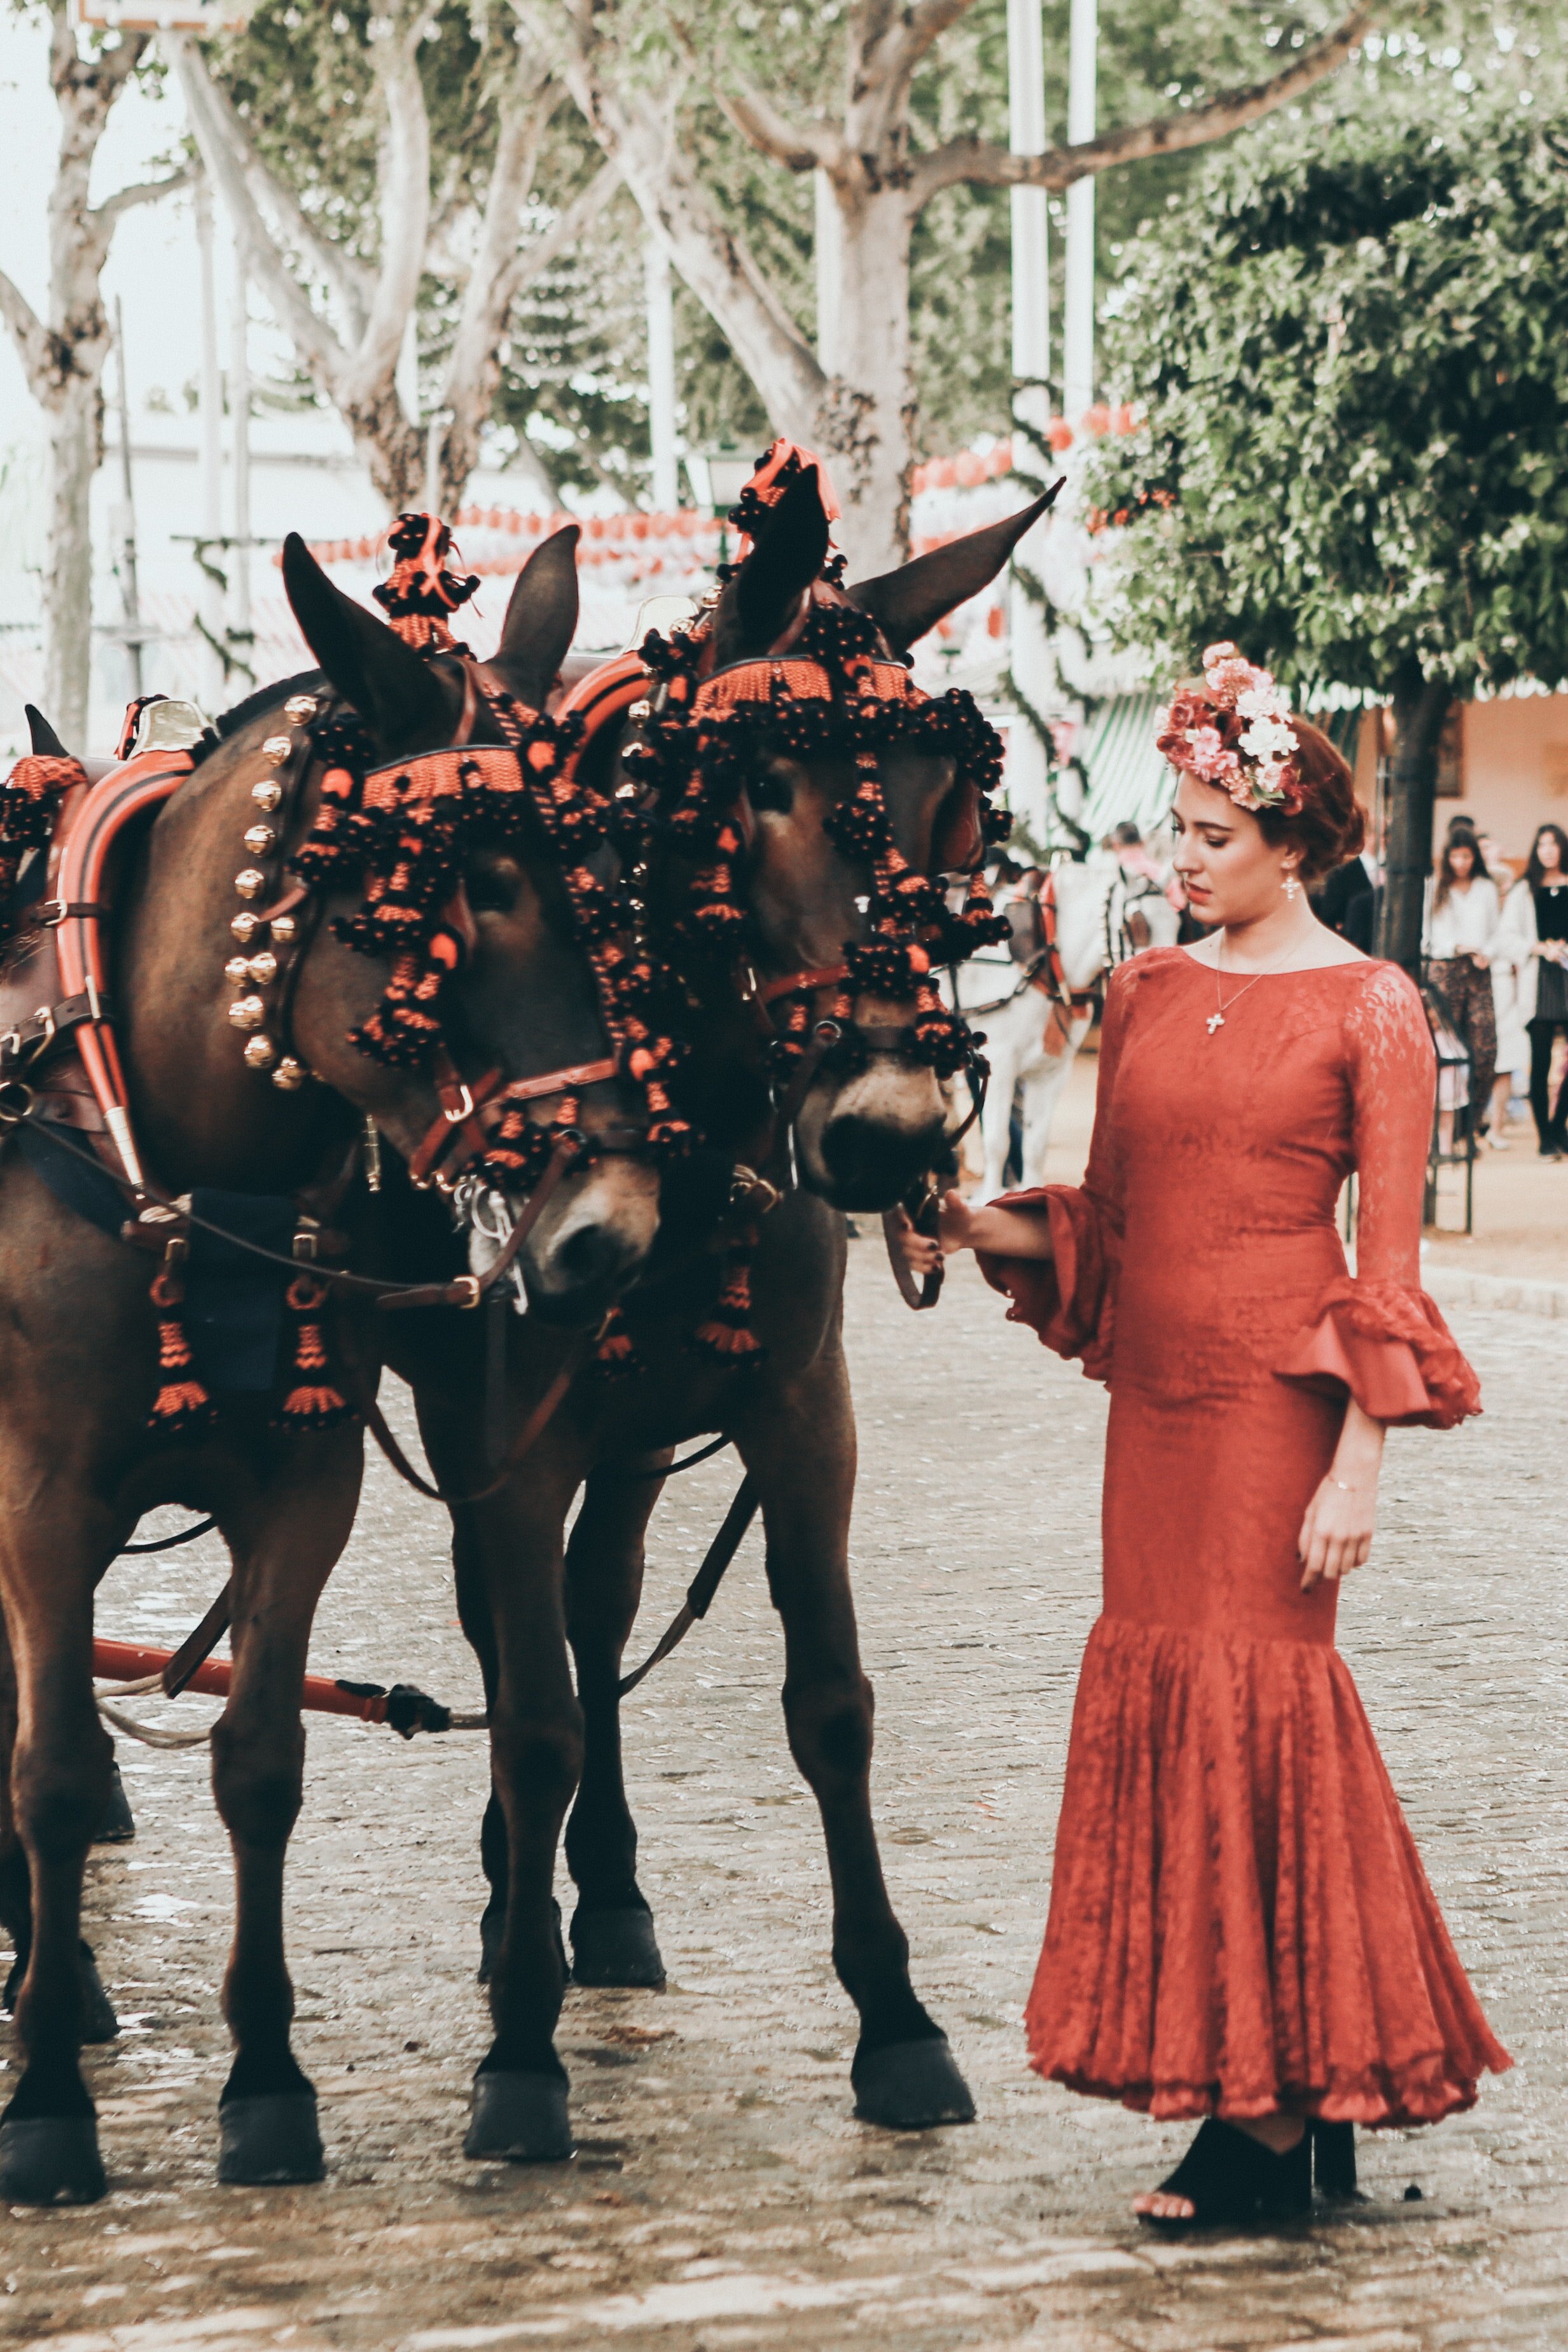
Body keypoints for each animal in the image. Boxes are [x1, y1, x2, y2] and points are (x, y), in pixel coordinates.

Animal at [950, 861, 1184, 1204]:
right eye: (1136, 922)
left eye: (1178, 923)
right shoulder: (1001, 1062)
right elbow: (997, 1141)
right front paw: (990, 1198)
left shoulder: (1052, 1070)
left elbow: (1035, 1146)